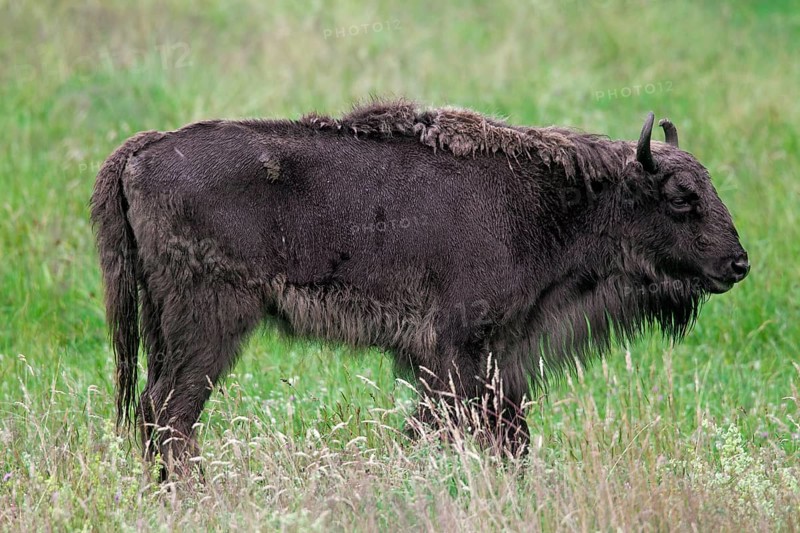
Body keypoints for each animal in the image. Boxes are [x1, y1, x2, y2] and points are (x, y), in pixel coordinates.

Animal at [91, 100, 749, 477]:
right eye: (681, 198)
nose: (739, 264)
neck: (563, 202)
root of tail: (145, 150)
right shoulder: (459, 354)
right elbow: (444, 429)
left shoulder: (499, 364)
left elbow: (504, 437)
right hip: (210, 326)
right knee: (170, 414)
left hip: (167, 327)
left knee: (156, 414)